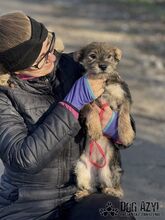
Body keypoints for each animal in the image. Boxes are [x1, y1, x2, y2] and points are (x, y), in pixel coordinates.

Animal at [73, 42, 135, 200]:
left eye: (109, 56)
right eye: (92, 56)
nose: (103, 66)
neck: (104, 81)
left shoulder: (123, 96)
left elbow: (124, 115)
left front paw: (126, 134)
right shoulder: (85, 101)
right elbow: (92, 110)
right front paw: (95, 130)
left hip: (111, 170)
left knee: (115, 188)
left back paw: (113, 191)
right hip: (81, 169)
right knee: (92, 188)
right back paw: (83, 193)